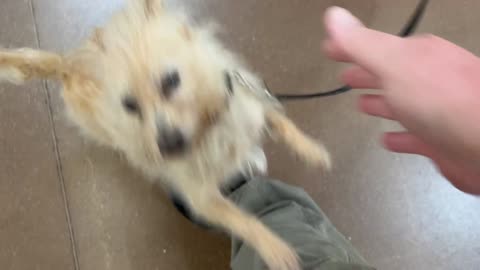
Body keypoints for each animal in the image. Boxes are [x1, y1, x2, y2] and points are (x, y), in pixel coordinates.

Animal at [0, 1, 330, 268]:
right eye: (129, 104)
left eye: (171, 81)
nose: (168, 147)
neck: (206, 128)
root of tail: (66, 63)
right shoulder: (202, 199)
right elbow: (243, 220)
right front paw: (274, 249)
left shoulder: (253, 107)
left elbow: (284, 125)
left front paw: (313, 151)